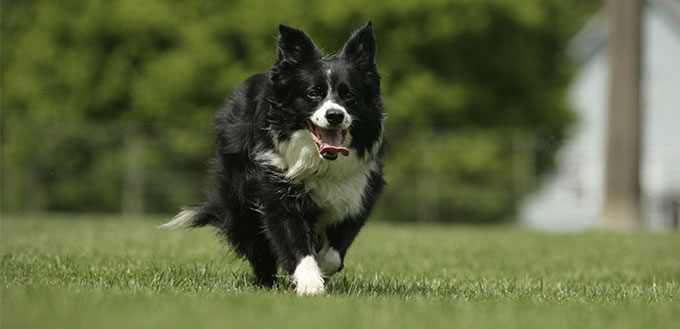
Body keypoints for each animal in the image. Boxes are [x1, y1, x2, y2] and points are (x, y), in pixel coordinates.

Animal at [160, 20, 386, 294]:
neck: (320, 162)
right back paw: (266, 281)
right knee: (256, 245)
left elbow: (333, 255)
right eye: (313, 93)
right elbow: (296, 243)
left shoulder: (357, 196)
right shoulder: (277, 191)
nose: (335, 115)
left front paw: (321, 272)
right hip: (241, 200)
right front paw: (310, 284)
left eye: (349, 95)